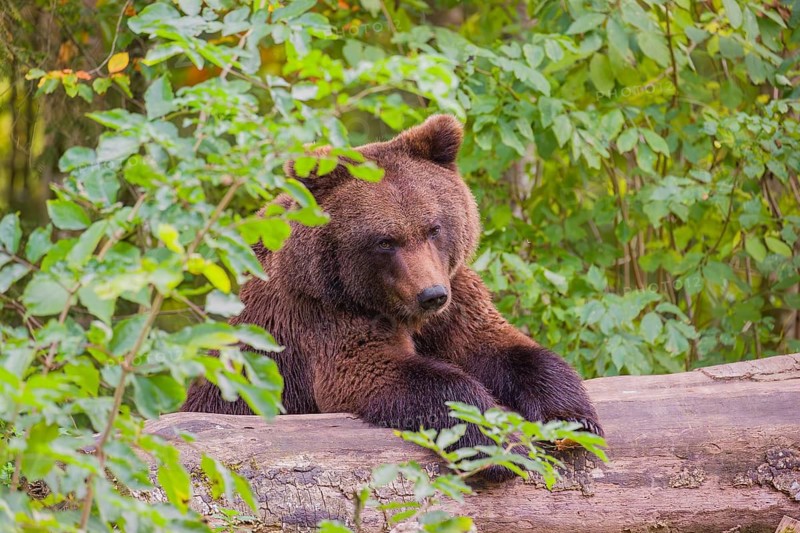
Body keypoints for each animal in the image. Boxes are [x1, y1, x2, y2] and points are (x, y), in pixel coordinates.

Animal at [182, 114, 602, 480]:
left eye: (434, 228)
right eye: (385, 241)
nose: (431, 294)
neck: (397, 310)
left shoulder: (456, 303)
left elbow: (503, 347)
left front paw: (573, 418)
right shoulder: (324, 317)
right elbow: (381, 372)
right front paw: (502, 445)